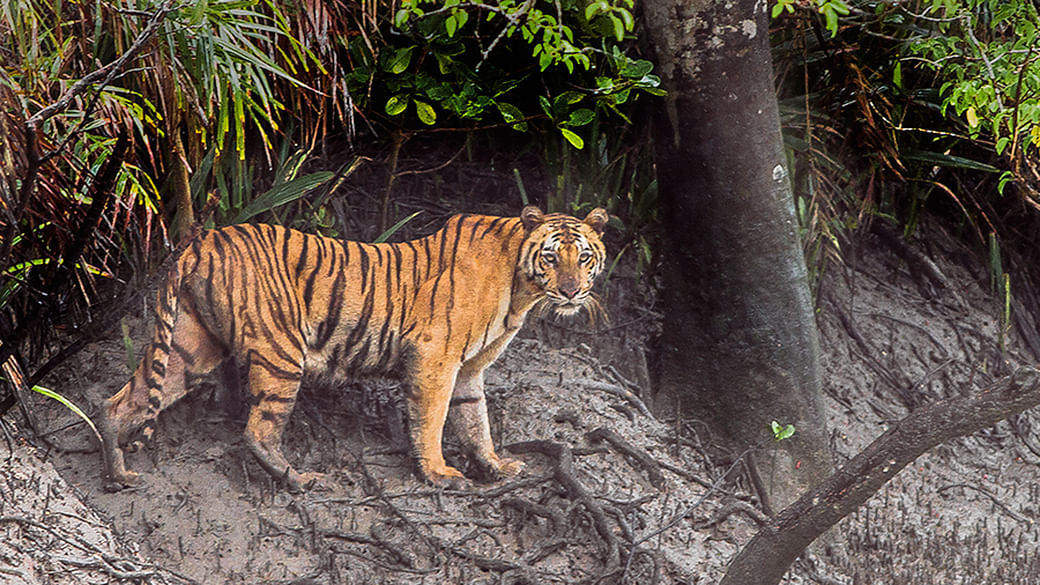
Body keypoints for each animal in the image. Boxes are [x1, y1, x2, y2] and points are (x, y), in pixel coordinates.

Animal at [99, 202, 607, 489]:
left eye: (584, 257)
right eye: (551, 257)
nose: (571, 291)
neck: (522, 289)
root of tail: (201, 241)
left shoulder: (468, 369)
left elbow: (474, 420)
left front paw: (496, 466)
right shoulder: (435, 357)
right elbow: (433, 420)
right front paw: (439, 474)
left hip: (190, 346)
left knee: (120, 402)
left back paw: (117, 475)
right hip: (282, 352)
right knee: (258, 431)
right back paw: (301, 480)